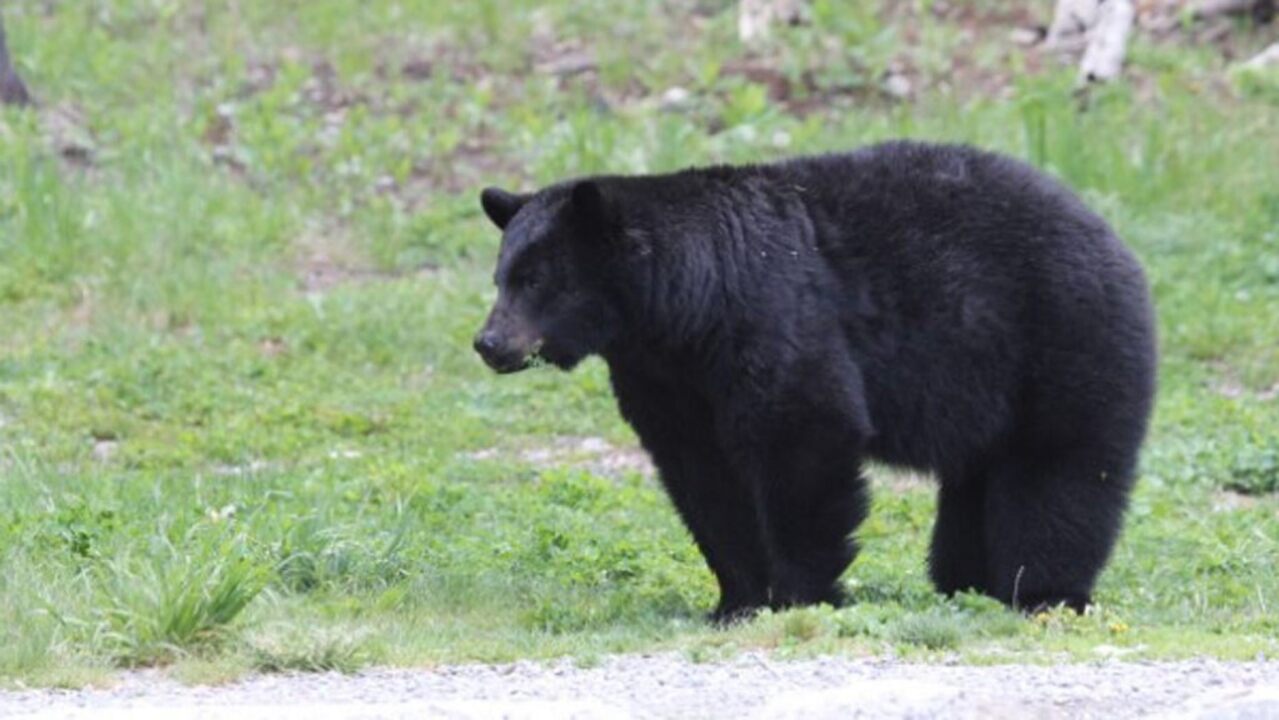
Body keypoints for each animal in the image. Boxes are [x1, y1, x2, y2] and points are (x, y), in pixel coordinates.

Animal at [475, 142, 1156, 626]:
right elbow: (704, 480)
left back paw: (1040, 592)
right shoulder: (669, 379)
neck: (686, 308)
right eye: (501, 276)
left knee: (1060, 473)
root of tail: (1112, 235)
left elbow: (804, 436)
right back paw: (967, 582)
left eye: (538, 279)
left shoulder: (773, 318)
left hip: (1061, 340)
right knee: (977, 482)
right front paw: (736, 601)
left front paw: (803, 593)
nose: (489, 343)